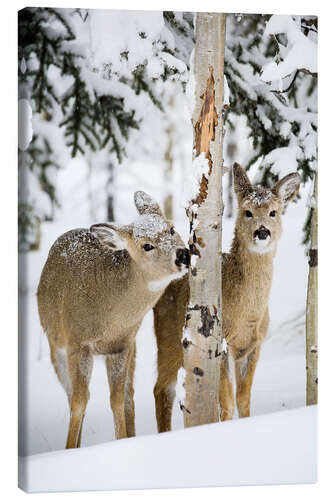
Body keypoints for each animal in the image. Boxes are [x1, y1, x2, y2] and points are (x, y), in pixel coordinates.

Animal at [37, 189, 188, 448]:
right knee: (74, 395)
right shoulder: (77, 343)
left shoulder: (122, 345)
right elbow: (79, 401)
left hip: (132, 348)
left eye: (171, 228)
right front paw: (70, 448)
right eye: (146, 245)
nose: (183, 254)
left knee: (128, 396)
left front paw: (122, 440)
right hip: (55, 344)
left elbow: (117, 400)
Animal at [153, 163, 300, 430]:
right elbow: (227, 402)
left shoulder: (254, 344)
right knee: (162, 389)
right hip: (168, 338)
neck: (247, 312)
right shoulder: (221, 340)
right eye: (247, 212)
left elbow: (243, 399)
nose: (262, 231)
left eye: (273, 212)